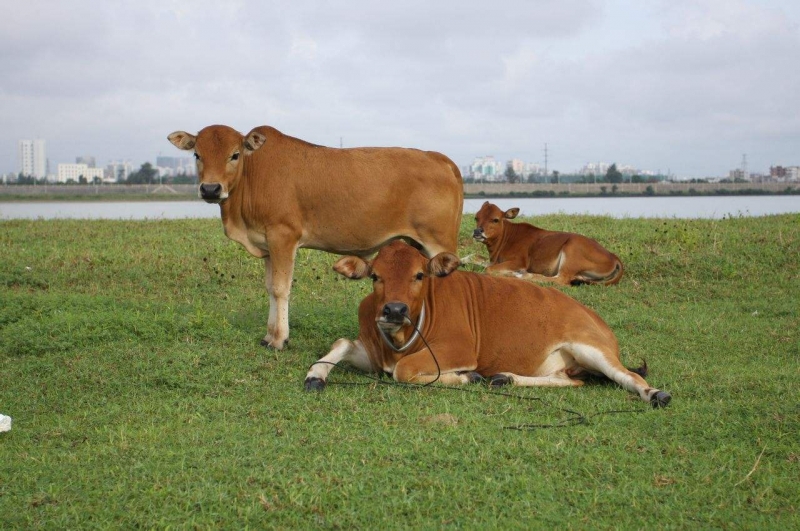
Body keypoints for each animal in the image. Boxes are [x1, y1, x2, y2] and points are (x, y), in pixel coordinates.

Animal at [168, 124, 462, 350]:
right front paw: (269, 335)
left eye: (235, 154)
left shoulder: (283, 236)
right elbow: (270, 288)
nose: (210, 189)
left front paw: (279, 339)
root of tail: (440, 158)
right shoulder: (267, 245)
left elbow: (281, 288)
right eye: (197, 154)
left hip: (439, 242)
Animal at [304, 241, 672, 408]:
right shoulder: (371, 350)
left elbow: (404, 370)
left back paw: (655, 393)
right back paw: (504, 378)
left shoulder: (458, 348)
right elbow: (341, 343)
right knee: (572, 381)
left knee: (628, 376)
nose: (394, 310)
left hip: (591, 347)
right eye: (375, 276)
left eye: (419, 275)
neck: (398, 339)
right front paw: (315, 375)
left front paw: (466, 376)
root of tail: (594, 317)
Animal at [472, 203, 620, 286]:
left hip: (571, 250)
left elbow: (488, 269)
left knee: (561, 280)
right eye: (476, 217)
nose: (477, 231)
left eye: (495, 219)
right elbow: (476, 258)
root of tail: (613, 256)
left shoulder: (519, 262)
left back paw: (523, 276)